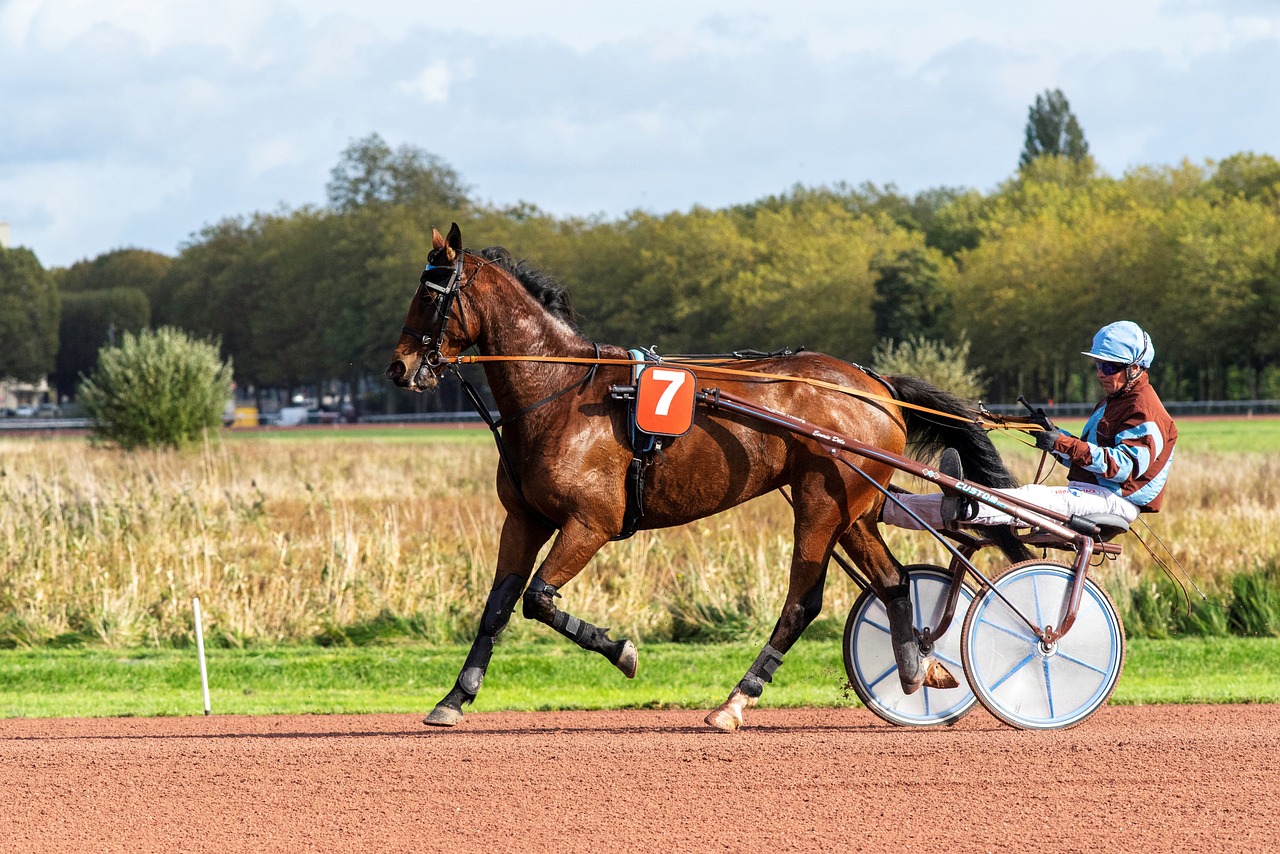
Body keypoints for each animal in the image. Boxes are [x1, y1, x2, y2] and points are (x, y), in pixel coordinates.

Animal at [384, 224, 1024, 732]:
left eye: (431, 295)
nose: (399, 367)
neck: (560, 393)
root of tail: (878, 385)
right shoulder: (524, 519)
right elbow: (498, 606)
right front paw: (454, 698)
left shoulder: (591, 523)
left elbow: (539, 600)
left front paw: (623, 650)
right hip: (855, 508)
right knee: (892, 582)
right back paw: (920, 667)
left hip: (820, 505)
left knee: (803, 602)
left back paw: (736, 701)